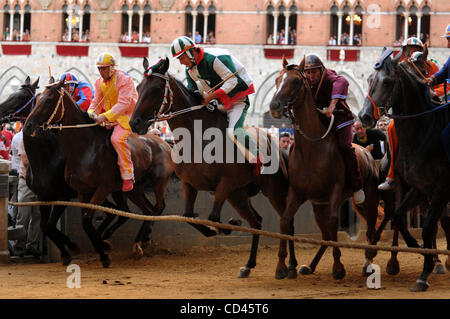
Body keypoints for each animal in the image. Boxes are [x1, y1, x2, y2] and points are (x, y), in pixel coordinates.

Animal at [22, 79, 175, 268]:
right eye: (36, 100)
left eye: (48, 100)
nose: (28, 125)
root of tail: (163, 142)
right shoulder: (68, 193)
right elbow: (55, 224)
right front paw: (95, 248)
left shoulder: (94, 189)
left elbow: (84, 221)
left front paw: (95, 252)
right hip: (132, 189)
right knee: (144, 210)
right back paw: (135, 244)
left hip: (158, 181)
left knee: (157, 208)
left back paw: (142, 240)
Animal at [128, 57, 292, 280]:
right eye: (138, 87)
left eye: (155, 89)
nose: (134, 123)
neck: (198, 138)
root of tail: (276, 145)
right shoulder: (189, 183)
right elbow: (189, 217)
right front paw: (218, 229)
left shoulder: (226, 183)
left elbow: (213, 217)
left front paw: (228, 226)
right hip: (238, 195)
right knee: (256, 222)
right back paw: (249, 265)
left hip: (271, 190)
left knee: (286, 222)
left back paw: (286, 267)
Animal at [268, 57, 382, 280]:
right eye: (277, 79)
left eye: (296, 81)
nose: (275, 105)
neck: (312, 148)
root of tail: (367, 152)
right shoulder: (297, 193)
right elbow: (285, 221)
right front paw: (281, 266)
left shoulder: (334, 191)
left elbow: (332, 222)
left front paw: (338, 267)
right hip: (318, 205)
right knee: (325, 236)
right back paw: (310, 266)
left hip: (369, 200)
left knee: (370, 230)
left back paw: (368, 262)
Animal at [356, 48, 448, 292]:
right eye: (370, 79)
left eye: (387, 82)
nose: (364, 116)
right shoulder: (419, 188)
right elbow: (398, 216)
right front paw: (417, 247)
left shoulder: (439, 189)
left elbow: (428, 227)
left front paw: (424, 274)